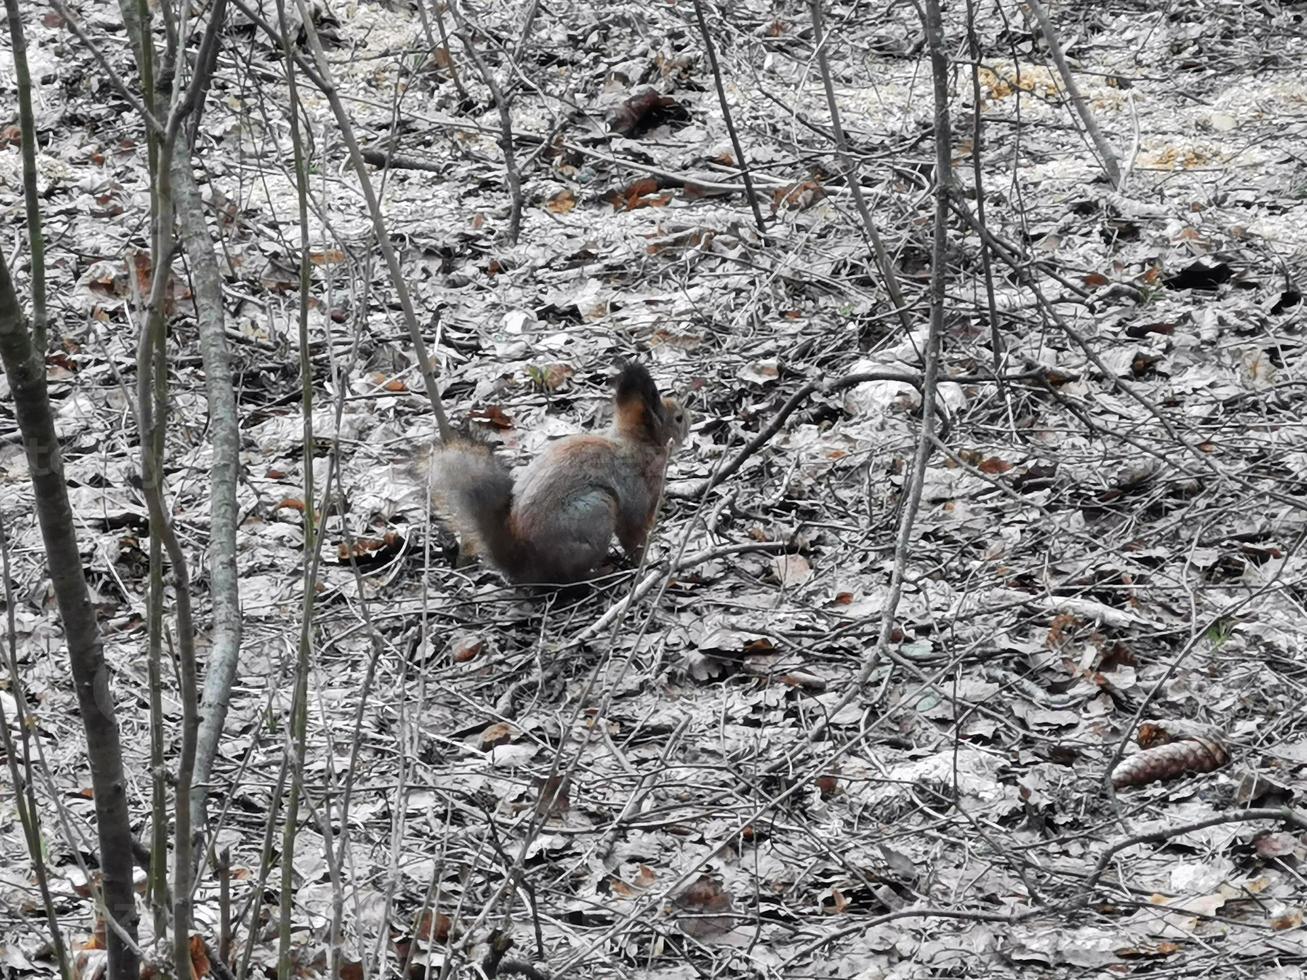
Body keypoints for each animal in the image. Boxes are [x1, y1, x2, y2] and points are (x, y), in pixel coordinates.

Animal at [420, 365, 690, 588]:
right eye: (678, 418)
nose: (690, 418)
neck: (639, 444)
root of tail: (526, 565)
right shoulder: (636, 494)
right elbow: (633, 535)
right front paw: (647, 560)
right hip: (594, 511)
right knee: (569, 578)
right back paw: (599, 574)